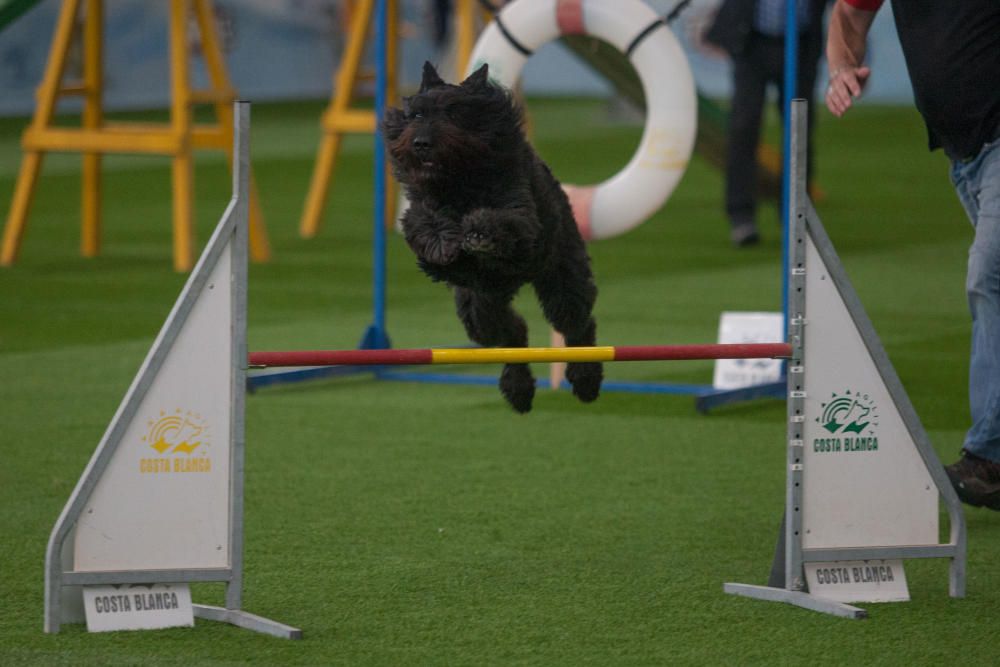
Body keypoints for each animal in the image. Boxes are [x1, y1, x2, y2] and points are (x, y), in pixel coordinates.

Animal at [382, 61, 600, 412]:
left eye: (454, 113)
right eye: (416, 114)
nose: (421, 143)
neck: (461, 180)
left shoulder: (521, 216)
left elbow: (500, 219)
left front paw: (479, 234)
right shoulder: (421, 209)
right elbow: (423, 222)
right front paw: (441, 241)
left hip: (563, 279)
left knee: (578, 325)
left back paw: (586, 380)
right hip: (479, 308)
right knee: (512, 333)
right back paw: (518, 389)